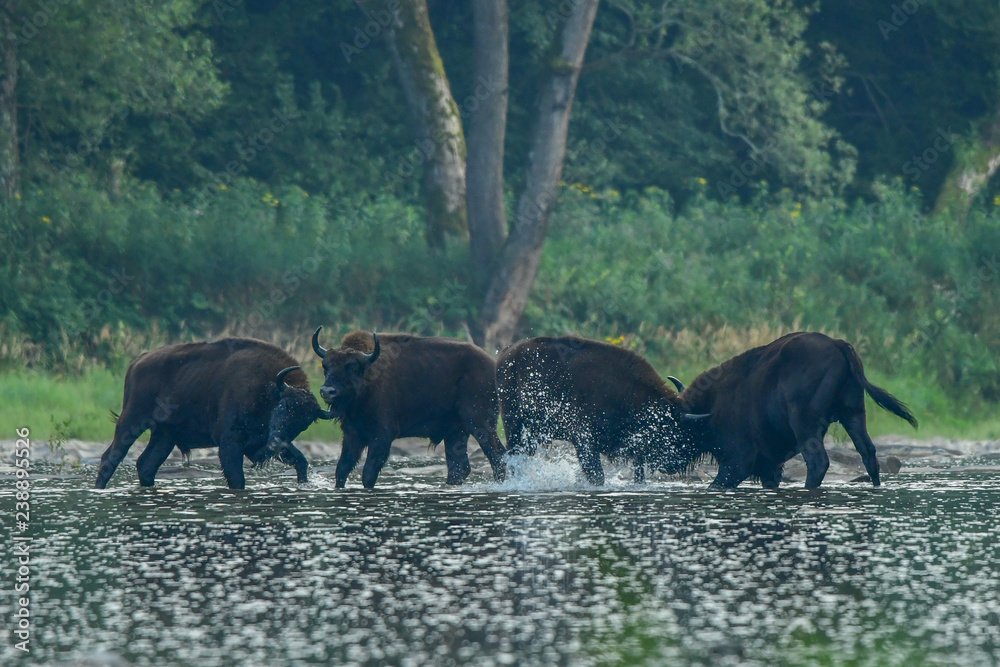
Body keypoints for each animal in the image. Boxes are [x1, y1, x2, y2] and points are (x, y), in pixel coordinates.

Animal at [95, 338, 332, 490]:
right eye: (283, 407)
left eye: (303, 423)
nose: (276, 444)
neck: (268, 387)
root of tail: (137, 362)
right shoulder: (230, 442)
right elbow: (236, 479)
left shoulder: (260, 445)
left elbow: (301, 461)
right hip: (131, 422)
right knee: (110, 457)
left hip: (164, 436)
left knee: (146, 465)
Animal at [312, 327, 506, 488]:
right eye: (326, 367)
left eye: (352, 368)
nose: (327, 391)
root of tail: (492, 364)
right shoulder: (352, 435)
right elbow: (342, 469)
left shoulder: (381, 437)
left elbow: (368, 473)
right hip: (456, 432)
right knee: (459, 466)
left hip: (479, 424)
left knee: (497, 455)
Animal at [497, 336, 705, 485]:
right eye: (677, 430)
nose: (675, 465)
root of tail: (507, 353)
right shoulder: (584, 440)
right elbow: (597, 474)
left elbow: (638, 473)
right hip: (513, 422)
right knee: (512, 453)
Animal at [678, 331, 918, 489]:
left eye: (673, 426)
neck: (708, 411)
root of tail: (838, 344)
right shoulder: (770, 465)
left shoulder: (737, 461)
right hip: (853, 413)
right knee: (868, 453)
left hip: (805, 423)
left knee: (818, 462)